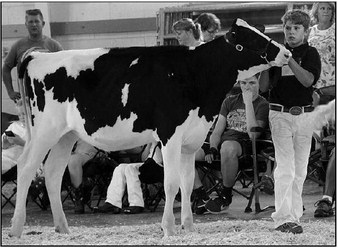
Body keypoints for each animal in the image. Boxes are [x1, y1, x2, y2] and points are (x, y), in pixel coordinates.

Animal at [9, 18, 290, 237]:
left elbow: (187, 183)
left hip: (66, 135)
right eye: (250, 37)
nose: (286, 53)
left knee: (53, 173)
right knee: (26, 168)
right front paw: (169, 228)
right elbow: (171, 183)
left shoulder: (192, 140)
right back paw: (16, 228)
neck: (195, 74)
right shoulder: (170, 134)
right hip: (45, 131)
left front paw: (188, 227)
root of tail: (37, 55)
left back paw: (63, 228)